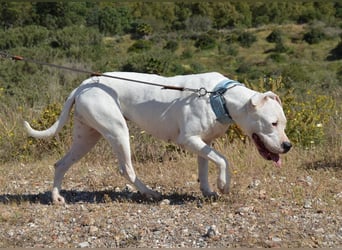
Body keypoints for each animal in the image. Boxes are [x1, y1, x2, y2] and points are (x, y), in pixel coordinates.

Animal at [24, 71, 292, 204]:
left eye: (284, 123)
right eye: (273, 123)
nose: (287, 145)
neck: (219, 97)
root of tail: (83, 85)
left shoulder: (205, 143)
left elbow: (207, 165)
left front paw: (208, 190)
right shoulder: (189, 140)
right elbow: (224, 159)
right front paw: (223, 185)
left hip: (86, 138)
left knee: (61, 164)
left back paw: (56, 198)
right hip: (118, 130)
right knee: (126, 169)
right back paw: (150, 194)